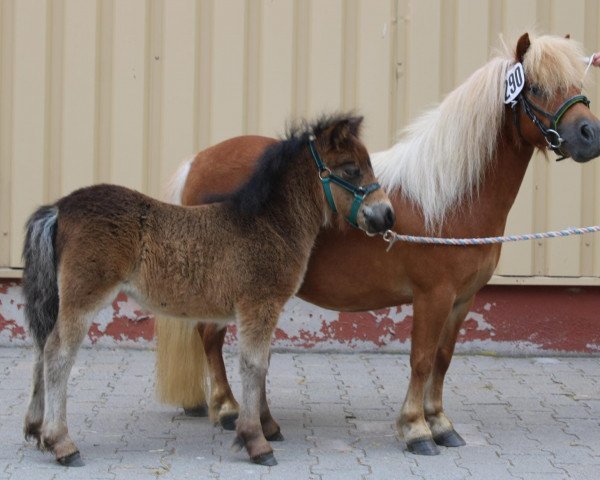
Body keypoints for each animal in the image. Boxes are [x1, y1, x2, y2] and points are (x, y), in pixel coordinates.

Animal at [21, 112, 396, 464]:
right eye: (351, 169)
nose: (386, 216)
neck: (268, 224)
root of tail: (59, 208)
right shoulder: (259, 304)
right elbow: (254, 365)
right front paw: (256, 440)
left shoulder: (259, 309)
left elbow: (260, 362)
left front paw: (263, 427)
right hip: (83, 296)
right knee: (57, 353)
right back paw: (62, 443)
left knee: (41, 348)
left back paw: (37, 430)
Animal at [154, 31, 600, 456]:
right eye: (536, 88)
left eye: (578, 82)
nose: (590, 134)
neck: (450, 196)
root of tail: (198, 161)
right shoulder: (433, 295)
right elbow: (421, 360)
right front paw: (416, 430)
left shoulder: (463, 299)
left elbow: (442, 359)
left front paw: (441, 424)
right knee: (210, 338)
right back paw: (230, 410)